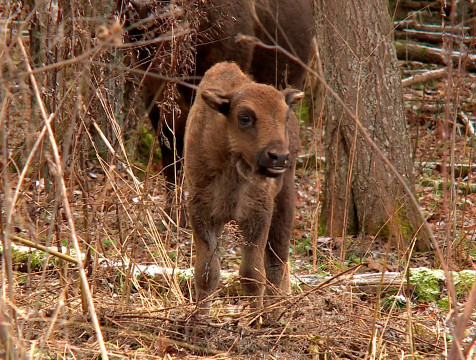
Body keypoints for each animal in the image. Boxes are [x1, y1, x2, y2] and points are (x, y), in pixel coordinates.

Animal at [184, 62, 304, 312]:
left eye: (284, 117)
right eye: (245, 117)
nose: (279, 157)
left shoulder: (257, 215)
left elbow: (252, 275)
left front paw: (255, 317)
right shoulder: (202, 213)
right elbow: (206, 273)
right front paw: (199, 317)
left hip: (285, 200)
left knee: (278, 262)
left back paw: (276, 310)